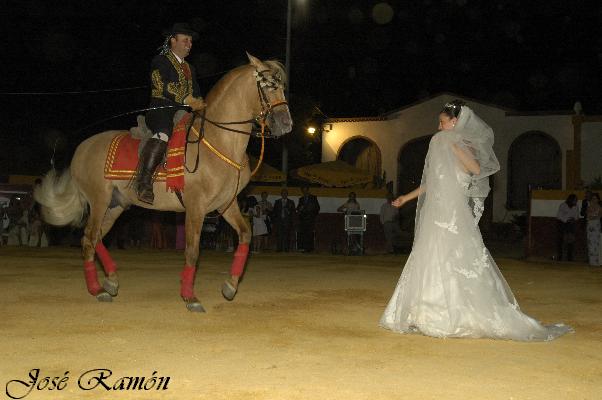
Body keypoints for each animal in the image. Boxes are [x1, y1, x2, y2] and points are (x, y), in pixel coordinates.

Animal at [34, 54, 292, 312]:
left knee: (95, 236)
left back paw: (111, 281)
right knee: (88, 238)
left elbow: (246, 235)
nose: (286, 124)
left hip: (116, 204)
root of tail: (82, 149)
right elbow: (192, 251)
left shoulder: (226, 204)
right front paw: (190, 297)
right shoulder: (195, 207)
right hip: (99, 201)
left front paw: (230, 286)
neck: (218, 141)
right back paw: (98, 289)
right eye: (269, 86)